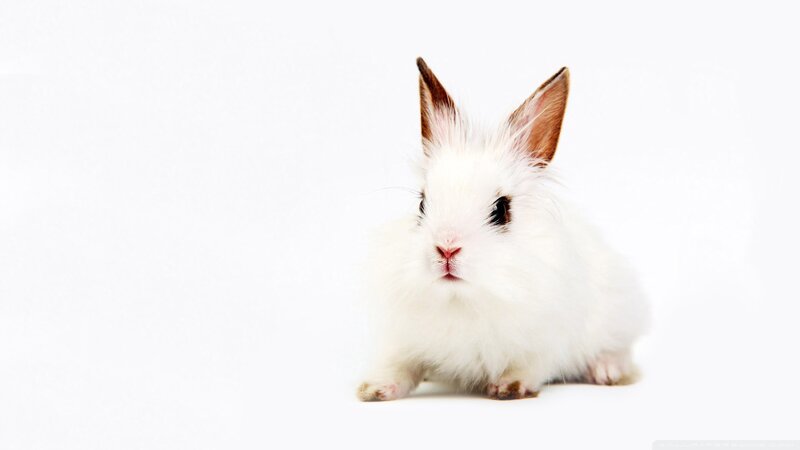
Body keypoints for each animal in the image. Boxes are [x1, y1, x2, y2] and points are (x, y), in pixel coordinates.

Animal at [357, 58, 649, 401]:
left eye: (501, 210)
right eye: (422, 205)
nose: (446, 248)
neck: (462, 300)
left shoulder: (546, 342)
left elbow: (532, 365)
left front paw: (510, 387)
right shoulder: (407, 342)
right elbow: (400, 367)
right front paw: (374, 388)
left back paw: (607, 371)